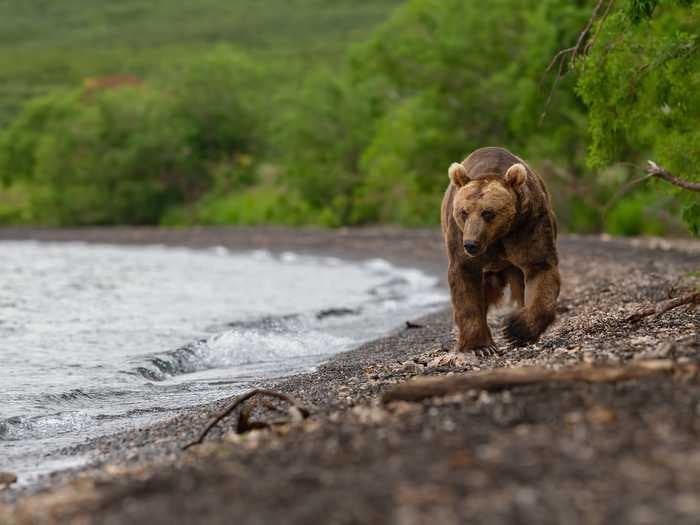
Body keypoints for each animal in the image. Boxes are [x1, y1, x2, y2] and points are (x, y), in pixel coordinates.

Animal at [442, 145, 564, 354]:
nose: (471, 244)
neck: (496, 237)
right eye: (463, 212)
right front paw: (480, 346)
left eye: (487, 212)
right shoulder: (459, 237)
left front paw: (515, 330)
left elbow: (540, 268)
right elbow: (465, 278)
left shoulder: (528, 225)